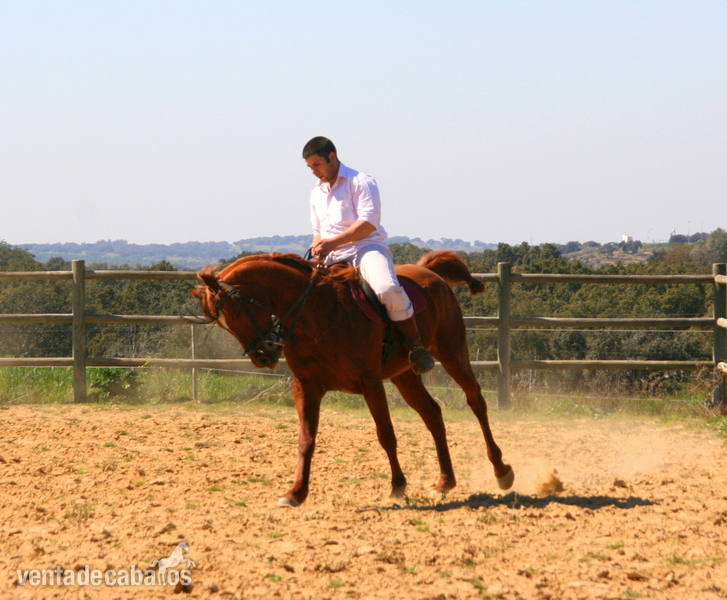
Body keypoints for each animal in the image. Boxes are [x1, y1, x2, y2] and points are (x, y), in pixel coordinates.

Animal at [191, 250, 513, 507]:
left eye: (235, 311)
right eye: (221, 322)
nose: (263, 356)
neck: (316, 314)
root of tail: (429, 272)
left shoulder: (370, 383)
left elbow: (386, 435)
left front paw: (397, 487)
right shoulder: (306, 387)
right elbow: (306, 439)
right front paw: (296, 493)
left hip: (452, 353)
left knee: (476, 401)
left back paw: (501, 471)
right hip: (405, 376)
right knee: (433, 414)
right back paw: (444, 482)